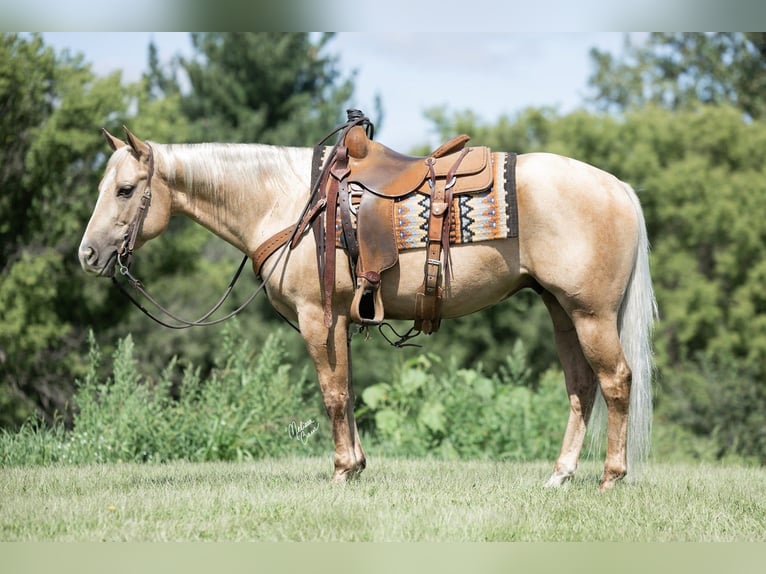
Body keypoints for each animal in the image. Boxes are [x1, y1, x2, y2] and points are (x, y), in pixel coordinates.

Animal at [79, 128, 660, 492]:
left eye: (126, 190)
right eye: (103, 186)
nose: (87, 254)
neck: (291, 203)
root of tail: (618, 187)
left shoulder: (317, 316)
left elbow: (332, 393)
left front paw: (341, 471)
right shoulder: (341, 318)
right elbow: (349, 390)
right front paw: (357, 466)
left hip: (590, 314)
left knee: (616, 381)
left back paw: (611, 476)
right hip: (561, 310)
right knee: (581, 387)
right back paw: (560, 475)